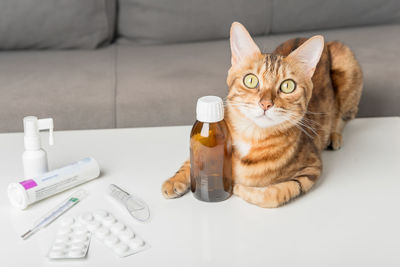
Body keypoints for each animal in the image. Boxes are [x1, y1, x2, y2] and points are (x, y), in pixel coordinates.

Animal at [161, 22, 360, 208]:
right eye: (250, 80)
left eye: (288, 85)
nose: (265, 104)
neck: (251, 134)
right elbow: (190, 161)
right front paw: (174, 181)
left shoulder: (311, 167)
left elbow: (273, 195)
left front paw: (239, 187)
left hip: (347, 63)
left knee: (342, 119)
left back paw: (334, 136)